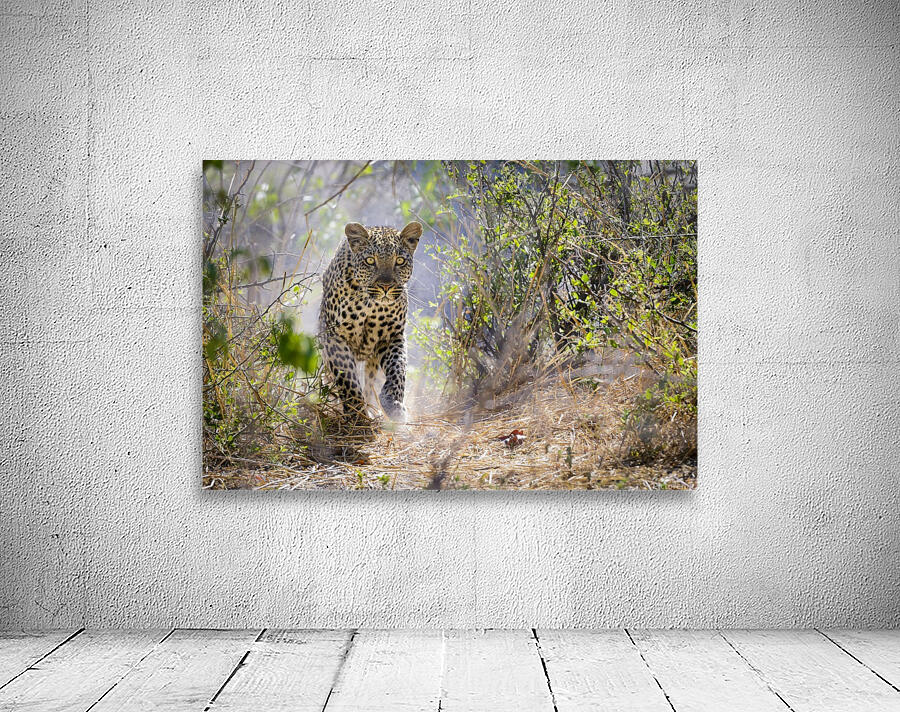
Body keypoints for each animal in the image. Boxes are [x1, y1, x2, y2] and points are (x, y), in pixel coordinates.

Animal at [318, 221, 423, 424]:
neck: (371, 306)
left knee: (370, 380)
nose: (386, 286)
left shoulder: (392, 336)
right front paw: (356, 415)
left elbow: (398, 370)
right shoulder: (335, 337)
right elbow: (347, 380)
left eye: (400, 261)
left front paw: (393, 406)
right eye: (370, 261)